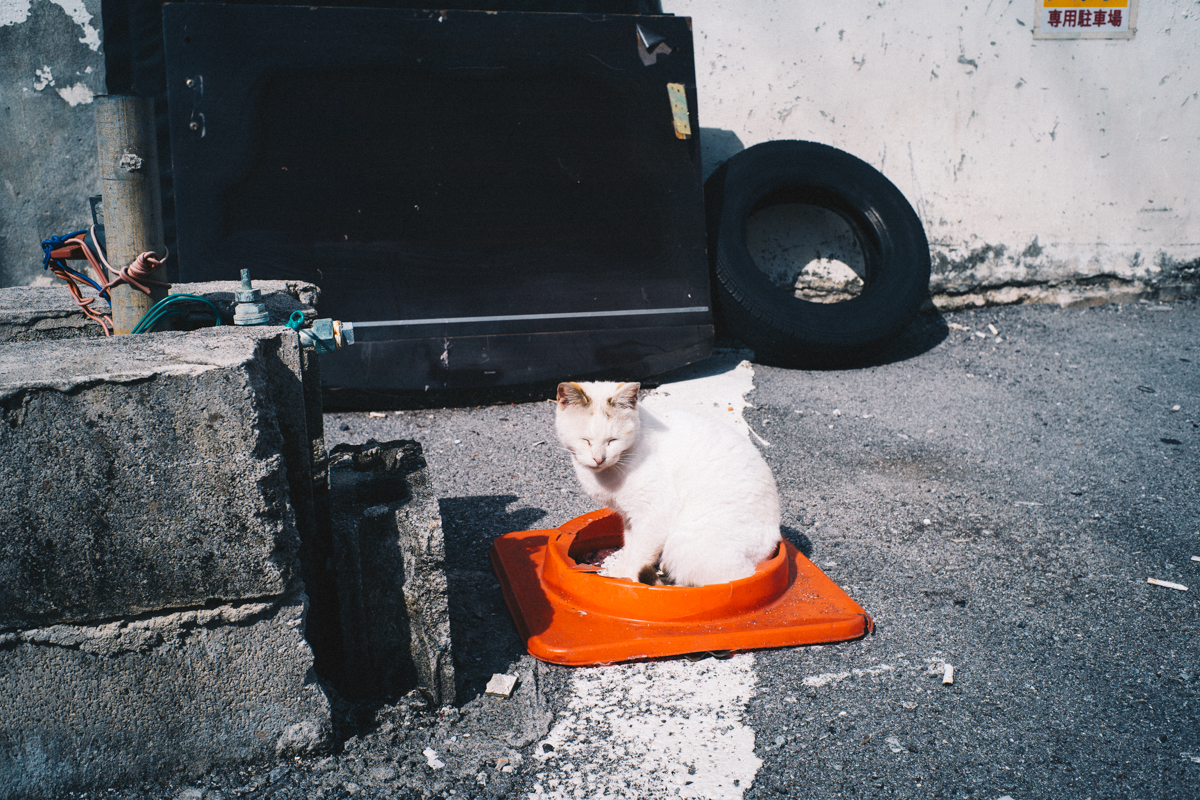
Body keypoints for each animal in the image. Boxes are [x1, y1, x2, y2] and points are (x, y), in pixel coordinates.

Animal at [549, 379, 777, 585]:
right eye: (585, 440)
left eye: (612, 441)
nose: (599, 459)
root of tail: (770, 546)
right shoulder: (630, 517)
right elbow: (630, 547)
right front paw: (621, 571)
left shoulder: (653, 515)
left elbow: (639, 555)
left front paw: (629, 580)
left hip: (687, 543)